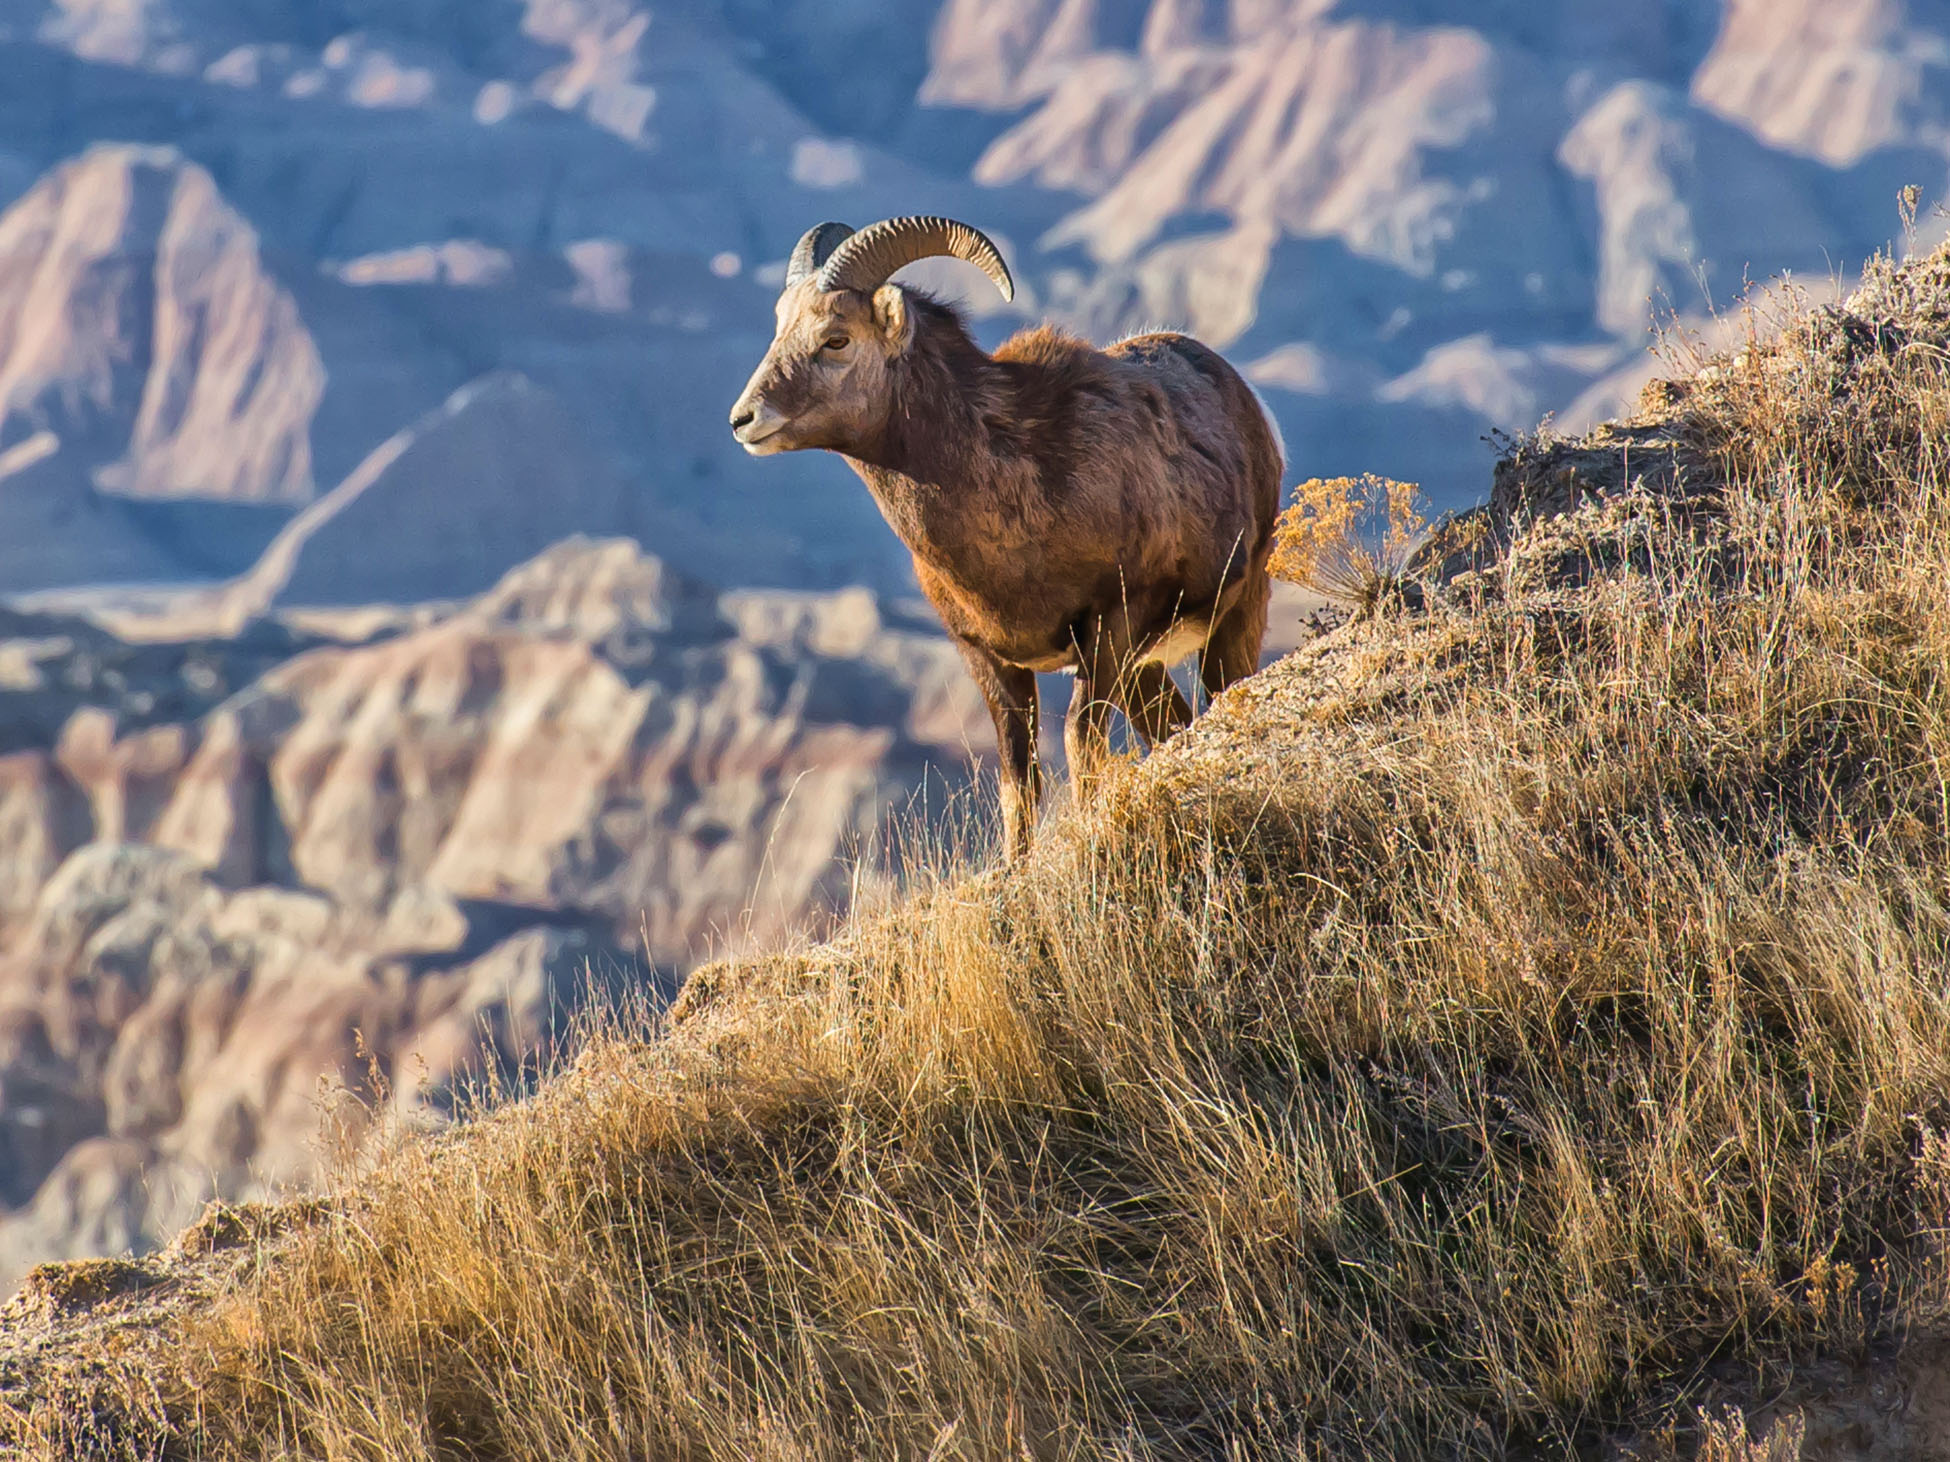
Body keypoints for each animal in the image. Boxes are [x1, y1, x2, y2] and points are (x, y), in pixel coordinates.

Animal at [729, 216, 1284, 857]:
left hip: (1233, 617)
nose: (743, 421)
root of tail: (1240, 395)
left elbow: (1078, 745)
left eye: (836, 340)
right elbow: (1019, 780)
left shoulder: (1110, 629)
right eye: (781, 328)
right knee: (1172, 724)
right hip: (1145, 668)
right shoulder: (989, 658)